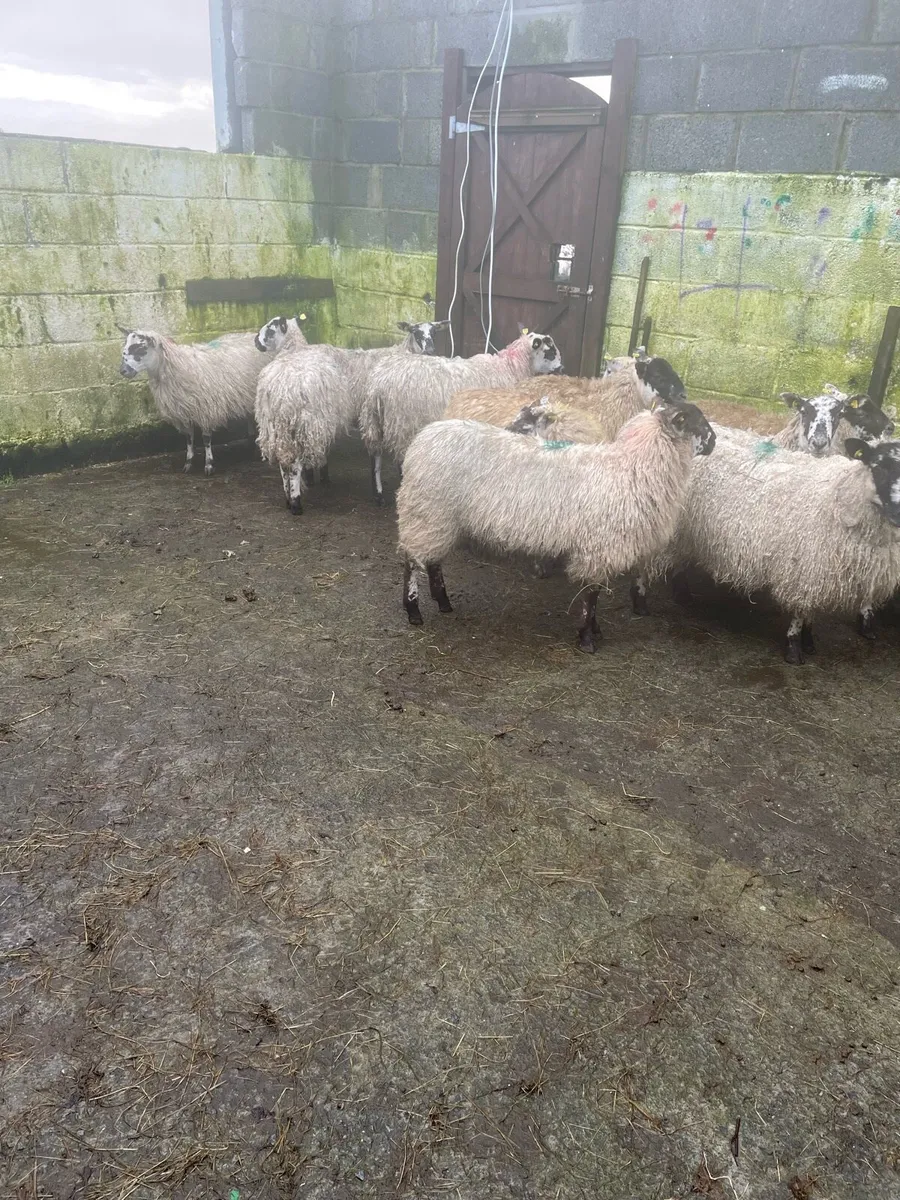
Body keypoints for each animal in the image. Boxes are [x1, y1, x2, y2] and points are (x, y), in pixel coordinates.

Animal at [118, 316, 303, 474]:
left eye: (139, 348)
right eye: (125, 347)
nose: (122, 371)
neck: (176, 366)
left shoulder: (206, 409)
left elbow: (206, 439)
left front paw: (208, 465)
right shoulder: (183, 411)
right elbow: (189, 439)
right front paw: (188, 463)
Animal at [253, 318, 442, 513]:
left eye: (434, 332)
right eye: (415, 332)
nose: (256, 342)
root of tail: (275, 386)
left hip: (277, 426)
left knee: (284, 461)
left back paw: (289, 499)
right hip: (305, 422)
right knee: (294, 463)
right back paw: (296, 504)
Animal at [362, 330, 563, 504]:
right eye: (550, 351)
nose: (562, 368)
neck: (510, 367)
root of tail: (378, 383)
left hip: (374, 420)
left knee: (375, 455)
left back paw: (378, 494)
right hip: (404, 423)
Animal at [396, 400, 716, 653]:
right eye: (695, 421)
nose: (713, 441)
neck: (633, 467)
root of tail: (423, 438)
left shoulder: (600, 547)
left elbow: (595, 594)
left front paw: (594, 630)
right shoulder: (599, 546)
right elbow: (591, 594)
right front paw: (587, 639)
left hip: (439, 517)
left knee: (433, 559)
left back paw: (442, 600)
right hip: (425, 510)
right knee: (412, 560)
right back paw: (413, 609)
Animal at [653, 435, 900, 664]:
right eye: (879, 467)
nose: (898, 512)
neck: (839, 499)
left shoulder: (817, 573)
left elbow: (810, 610)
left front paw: (809, 641)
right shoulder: (803, 568)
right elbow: (800, 610)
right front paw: (794, 648)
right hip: (676, 525)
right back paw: (677, 594)